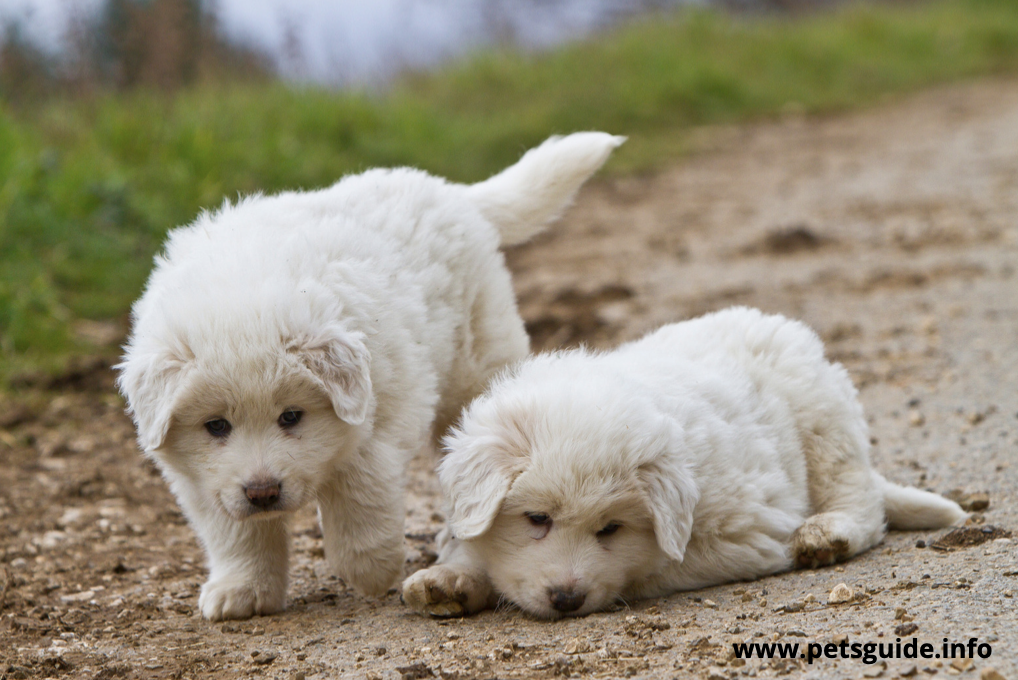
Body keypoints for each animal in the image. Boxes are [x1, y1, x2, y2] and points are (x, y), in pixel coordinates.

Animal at [120, 132, 627, 622]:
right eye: (216, 426)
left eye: (291, 417)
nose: (264, 492)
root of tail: (450, 191)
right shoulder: (202, 478)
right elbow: (235, 532)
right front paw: (240, 590)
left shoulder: (379, 417)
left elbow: (359, 493)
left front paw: (369, 568)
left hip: (476, 366)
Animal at [401, 307, 965, 614]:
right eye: (536, 519)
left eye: (611, 529)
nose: (566, 598)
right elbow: (472, 546)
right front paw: (448, 580)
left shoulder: (749, 533)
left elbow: (651, 567)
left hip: (824, 420)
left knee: (862, 500)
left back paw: (828, 533)